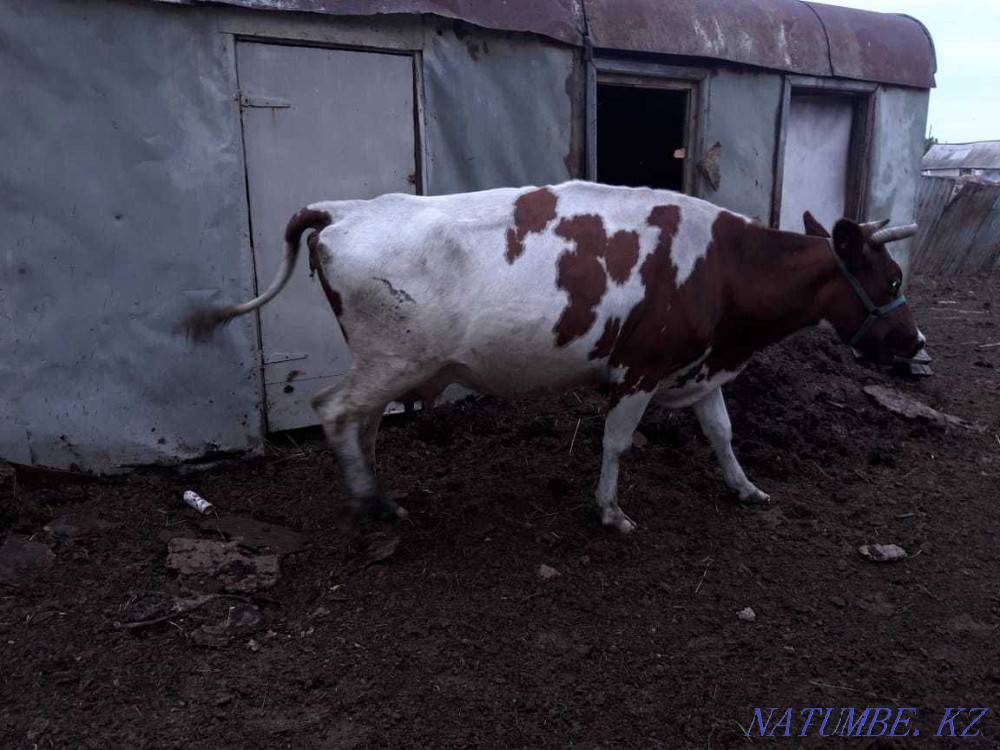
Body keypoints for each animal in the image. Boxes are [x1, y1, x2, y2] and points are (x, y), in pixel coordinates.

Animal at [183, 181, 923, 532]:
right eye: (892, 280)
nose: (916, 347)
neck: (722, 267)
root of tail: (345, 209)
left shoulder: (703, 363)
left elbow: (722, 431)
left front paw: (745, 488)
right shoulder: (642, 367)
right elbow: (618, 442)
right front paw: (610, 511)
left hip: (385, 363)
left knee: (361, 423)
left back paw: (382, 494)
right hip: (392, 358)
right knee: (333, 409)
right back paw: (371, 500)